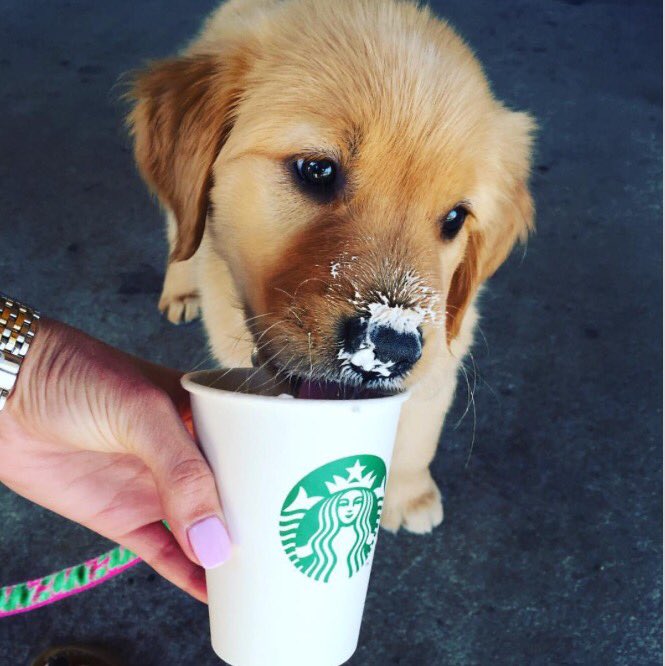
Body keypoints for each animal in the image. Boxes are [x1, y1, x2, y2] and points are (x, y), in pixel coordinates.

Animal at [128, 0, 536, 532]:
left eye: (454, 218)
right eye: (317, 169)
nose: (391, 348)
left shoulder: (448, 339)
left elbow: (420, 427)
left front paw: (410, 494)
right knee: (180, 236)